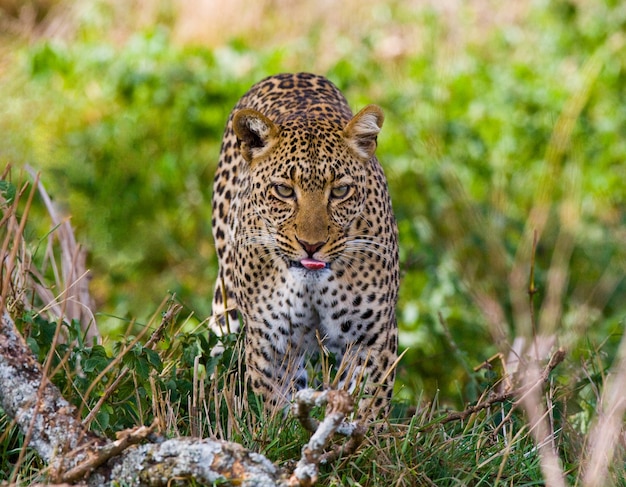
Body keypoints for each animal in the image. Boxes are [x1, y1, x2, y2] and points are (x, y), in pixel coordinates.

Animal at [207, 71, 398, 420]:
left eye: (340, 191)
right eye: (283, 190)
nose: (312, 245)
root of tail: (290, 73)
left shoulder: (372, 338)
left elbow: (367, 406)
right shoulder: (271, 343)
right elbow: (274, 407)